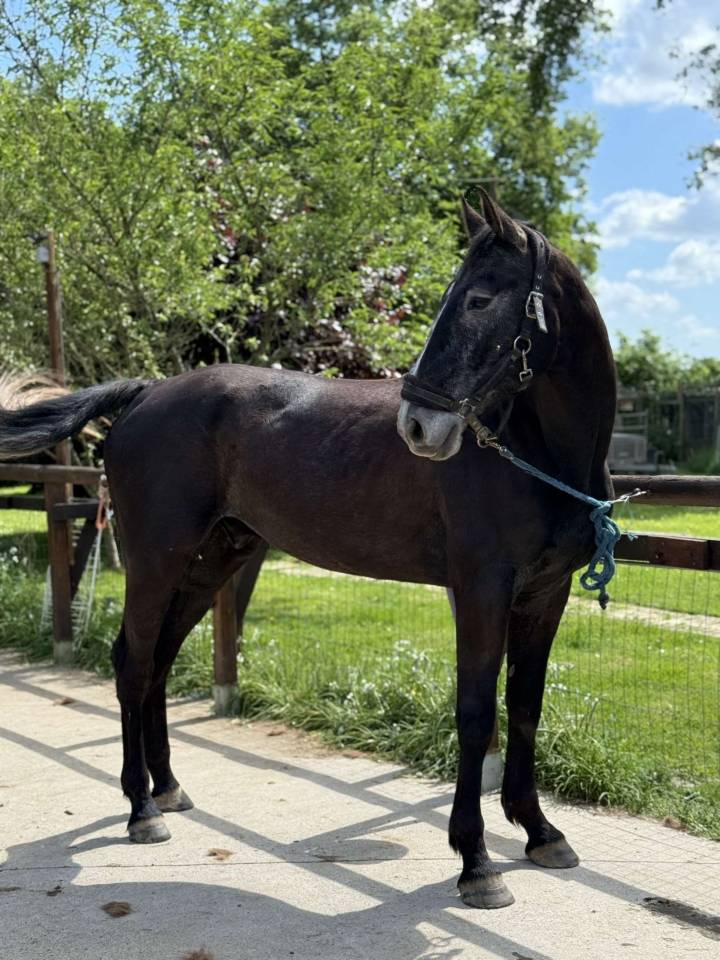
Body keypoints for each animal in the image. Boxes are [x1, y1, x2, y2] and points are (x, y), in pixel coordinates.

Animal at [0, 190, 616, 908]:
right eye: (459, 295)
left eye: (481, 298)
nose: (418, 426)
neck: (536, 454)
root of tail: (148, 392)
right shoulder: (481, 590)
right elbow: (474, 712)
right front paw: (476, 862)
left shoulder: (546, 593)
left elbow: (525, 706)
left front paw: (541, 831)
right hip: (155, 561)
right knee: (133, 663)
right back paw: (141, 811)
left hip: (213, 561)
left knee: (157, 664)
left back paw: (169, 789)